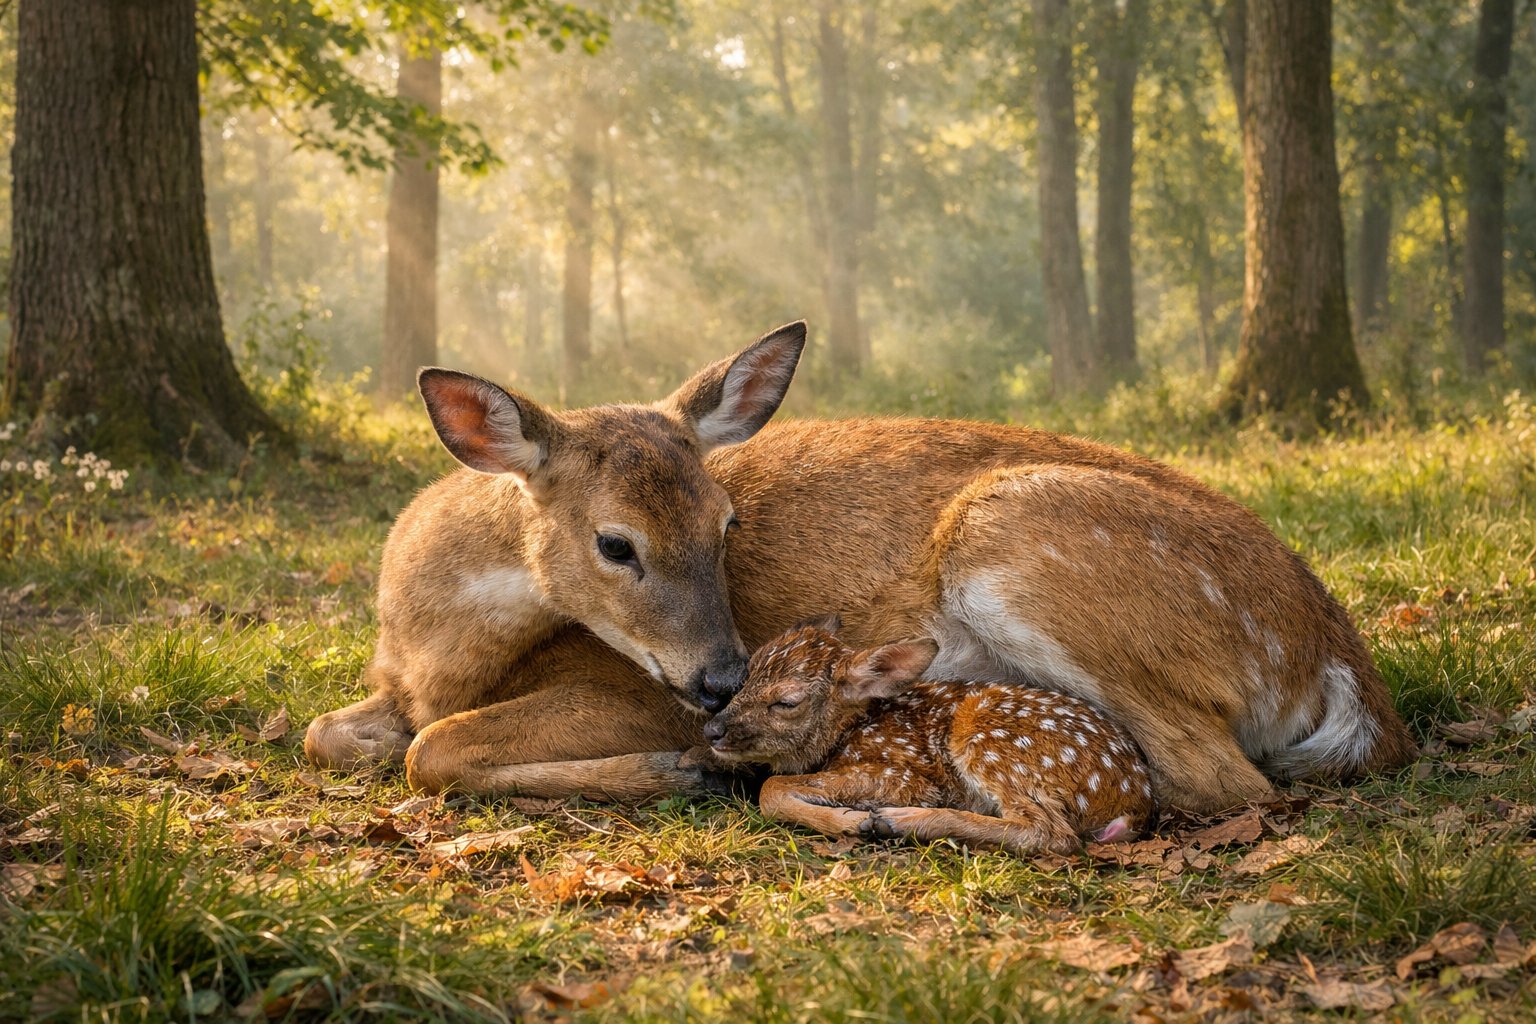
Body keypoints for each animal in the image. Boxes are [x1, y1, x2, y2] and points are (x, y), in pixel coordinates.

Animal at [303, 321, 1417, 814]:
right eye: (615, 542)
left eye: (726, 522)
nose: (725, 679)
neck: (433, 643)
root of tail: (1334, 654)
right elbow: (329, 733)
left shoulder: (623, 685)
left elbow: (433, 748)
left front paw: (672, 767)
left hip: (1022, 539)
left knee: (1216, 781)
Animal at [686, 619, 1154, 854]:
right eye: (746, 676)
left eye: (786, 702)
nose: (713, 730)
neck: (849, 733)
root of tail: (1135, 800)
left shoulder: (901, 774)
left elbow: (770, 788)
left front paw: (852, 821)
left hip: (992, 739)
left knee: (1053, 835)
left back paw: (897, 821)